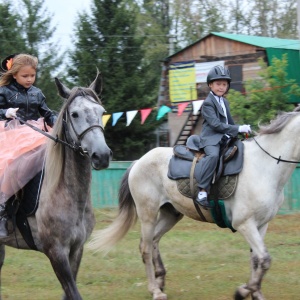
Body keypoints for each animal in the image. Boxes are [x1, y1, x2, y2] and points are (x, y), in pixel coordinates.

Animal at [0, 73, 111, 300]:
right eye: (75, 114)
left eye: (101, 112)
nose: (102, 155)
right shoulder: (56, 252)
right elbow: (73, 293)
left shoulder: (76, 250)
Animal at [88, 106, 300, 298]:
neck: (264, 166)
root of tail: (138, 162)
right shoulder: (245, 224)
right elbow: (264, 259)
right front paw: (243, 291)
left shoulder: (261, 224)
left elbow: (257, 260)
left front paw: (255, 293)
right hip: (148, 214)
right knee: (146, 247)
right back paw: (155, 290)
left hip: (170, 214)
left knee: (154, 240)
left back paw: (160, 279)